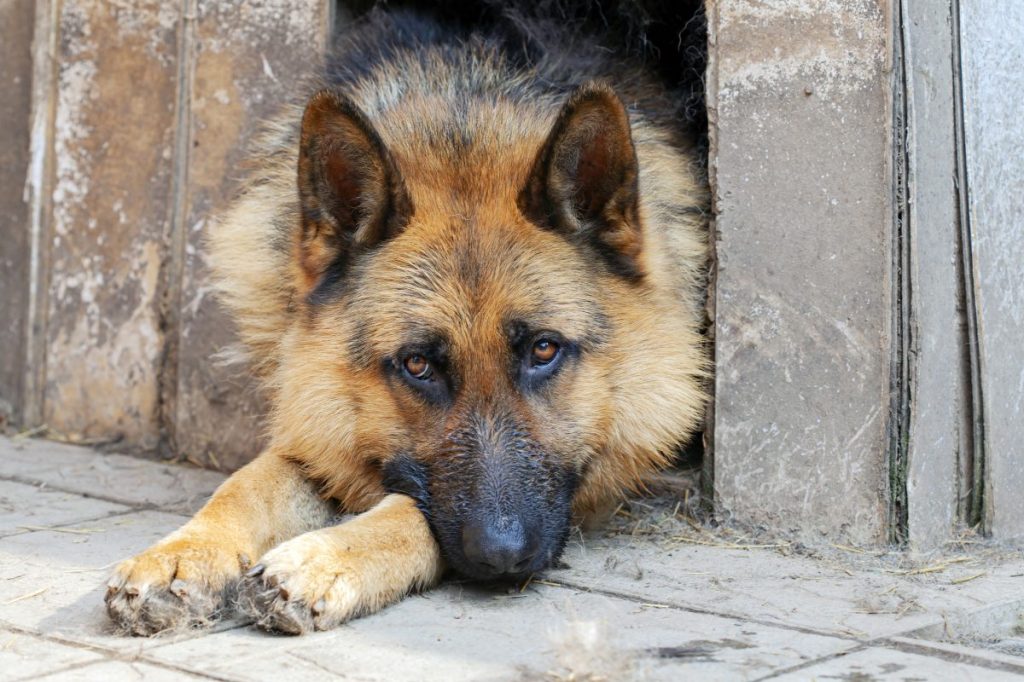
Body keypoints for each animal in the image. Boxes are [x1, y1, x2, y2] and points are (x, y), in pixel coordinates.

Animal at [105, 3, 712, 630]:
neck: (463, 111)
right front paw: (184, 552)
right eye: (418, 364)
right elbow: (247, 482)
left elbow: (412, 509)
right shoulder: (318, 421)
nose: (501, 556)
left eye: (544, 350)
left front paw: (324, 557)